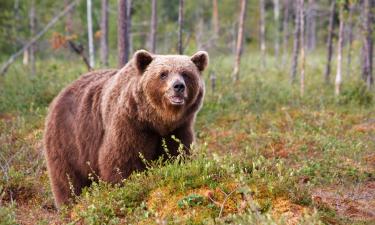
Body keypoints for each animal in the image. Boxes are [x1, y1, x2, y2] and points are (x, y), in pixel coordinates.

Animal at [44, 49, 210, 207]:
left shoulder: (178, 129)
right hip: (69, 137)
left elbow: (177, 154)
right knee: (67, 177)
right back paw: (69, 203)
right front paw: (125, 186)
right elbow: (122, 160)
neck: (156, 120)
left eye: (186, 74)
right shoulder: (130, 125)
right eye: (163, 74)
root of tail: (61, 92)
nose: (178, 86)